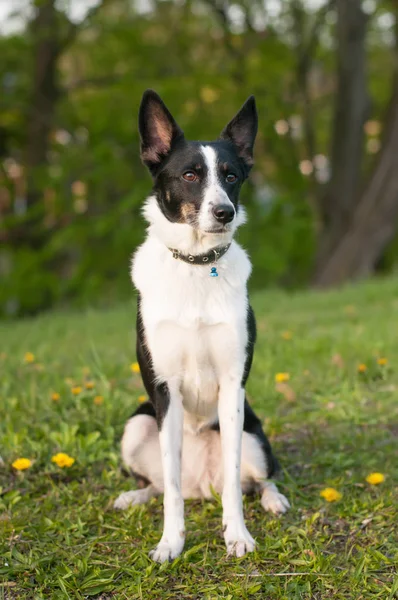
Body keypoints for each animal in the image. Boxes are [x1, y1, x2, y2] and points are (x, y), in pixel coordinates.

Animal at [112, 90, 290, 564]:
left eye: (231, 176)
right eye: (190, 175)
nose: (224, 212)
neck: (196, 266)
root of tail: (201, 487)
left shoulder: (232, 387)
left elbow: (233, 482)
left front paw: (237, 536)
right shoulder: (164, 389)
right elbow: (170, 490)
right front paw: (171, 542)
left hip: (252, 433)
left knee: (258, 478)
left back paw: (274, 499)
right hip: (137, 424)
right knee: (160, 484)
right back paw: (133, 497)